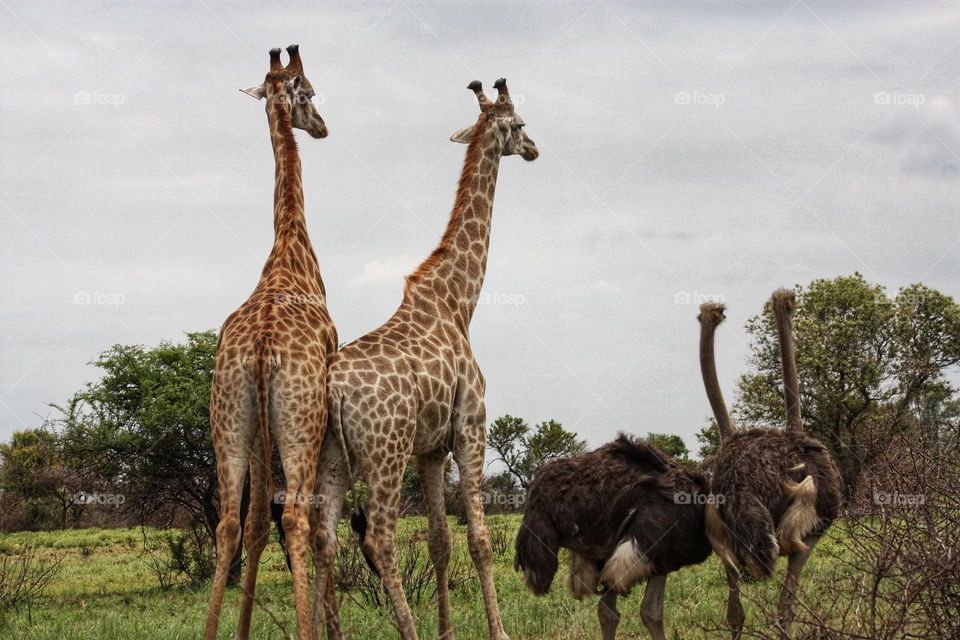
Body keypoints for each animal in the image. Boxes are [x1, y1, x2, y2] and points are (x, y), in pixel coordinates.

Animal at [312, 80, 536, 640]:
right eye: (521, 124)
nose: (535, 149)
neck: (460, 301)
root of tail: (332, 389)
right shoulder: (470, 427)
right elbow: (478, 538)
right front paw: (498, 630)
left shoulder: (430, 449)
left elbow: (440, 540)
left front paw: (447, 631)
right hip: (384, 455)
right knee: (378, 539)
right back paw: (405, 630)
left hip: (331, 456)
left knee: (323, 536)